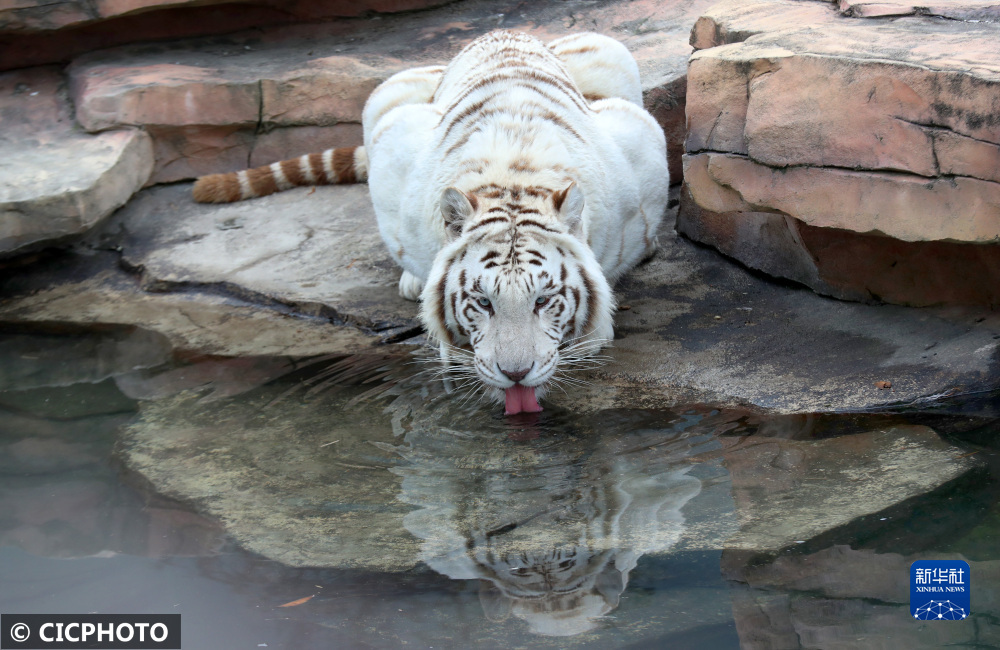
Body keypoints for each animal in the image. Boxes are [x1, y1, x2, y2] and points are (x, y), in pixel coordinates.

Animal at [193, 30, 669, 414]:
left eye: (543, 300)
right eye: (483, 303)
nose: (515, 374)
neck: (514, 180)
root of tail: (506, 30)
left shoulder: (641, 140)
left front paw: (596, 330)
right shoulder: (394, 146)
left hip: (610, 51)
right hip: (386, 93)